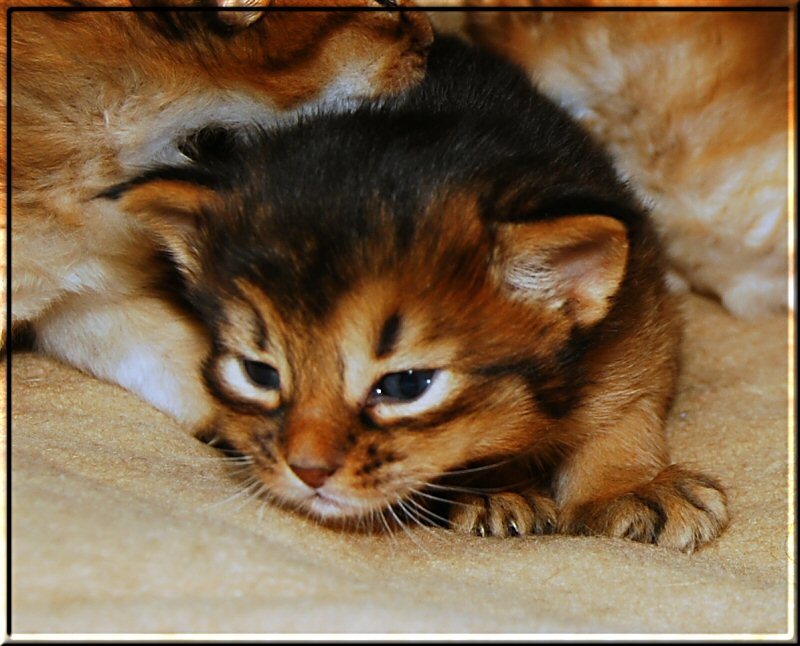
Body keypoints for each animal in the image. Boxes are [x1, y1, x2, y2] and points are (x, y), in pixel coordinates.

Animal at [112, 35, 732, 552]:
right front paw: (493, 489)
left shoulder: (641, 311)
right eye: (259, 373)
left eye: (405, 386)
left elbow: (628, 406)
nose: (307, 470)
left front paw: (633, 485)